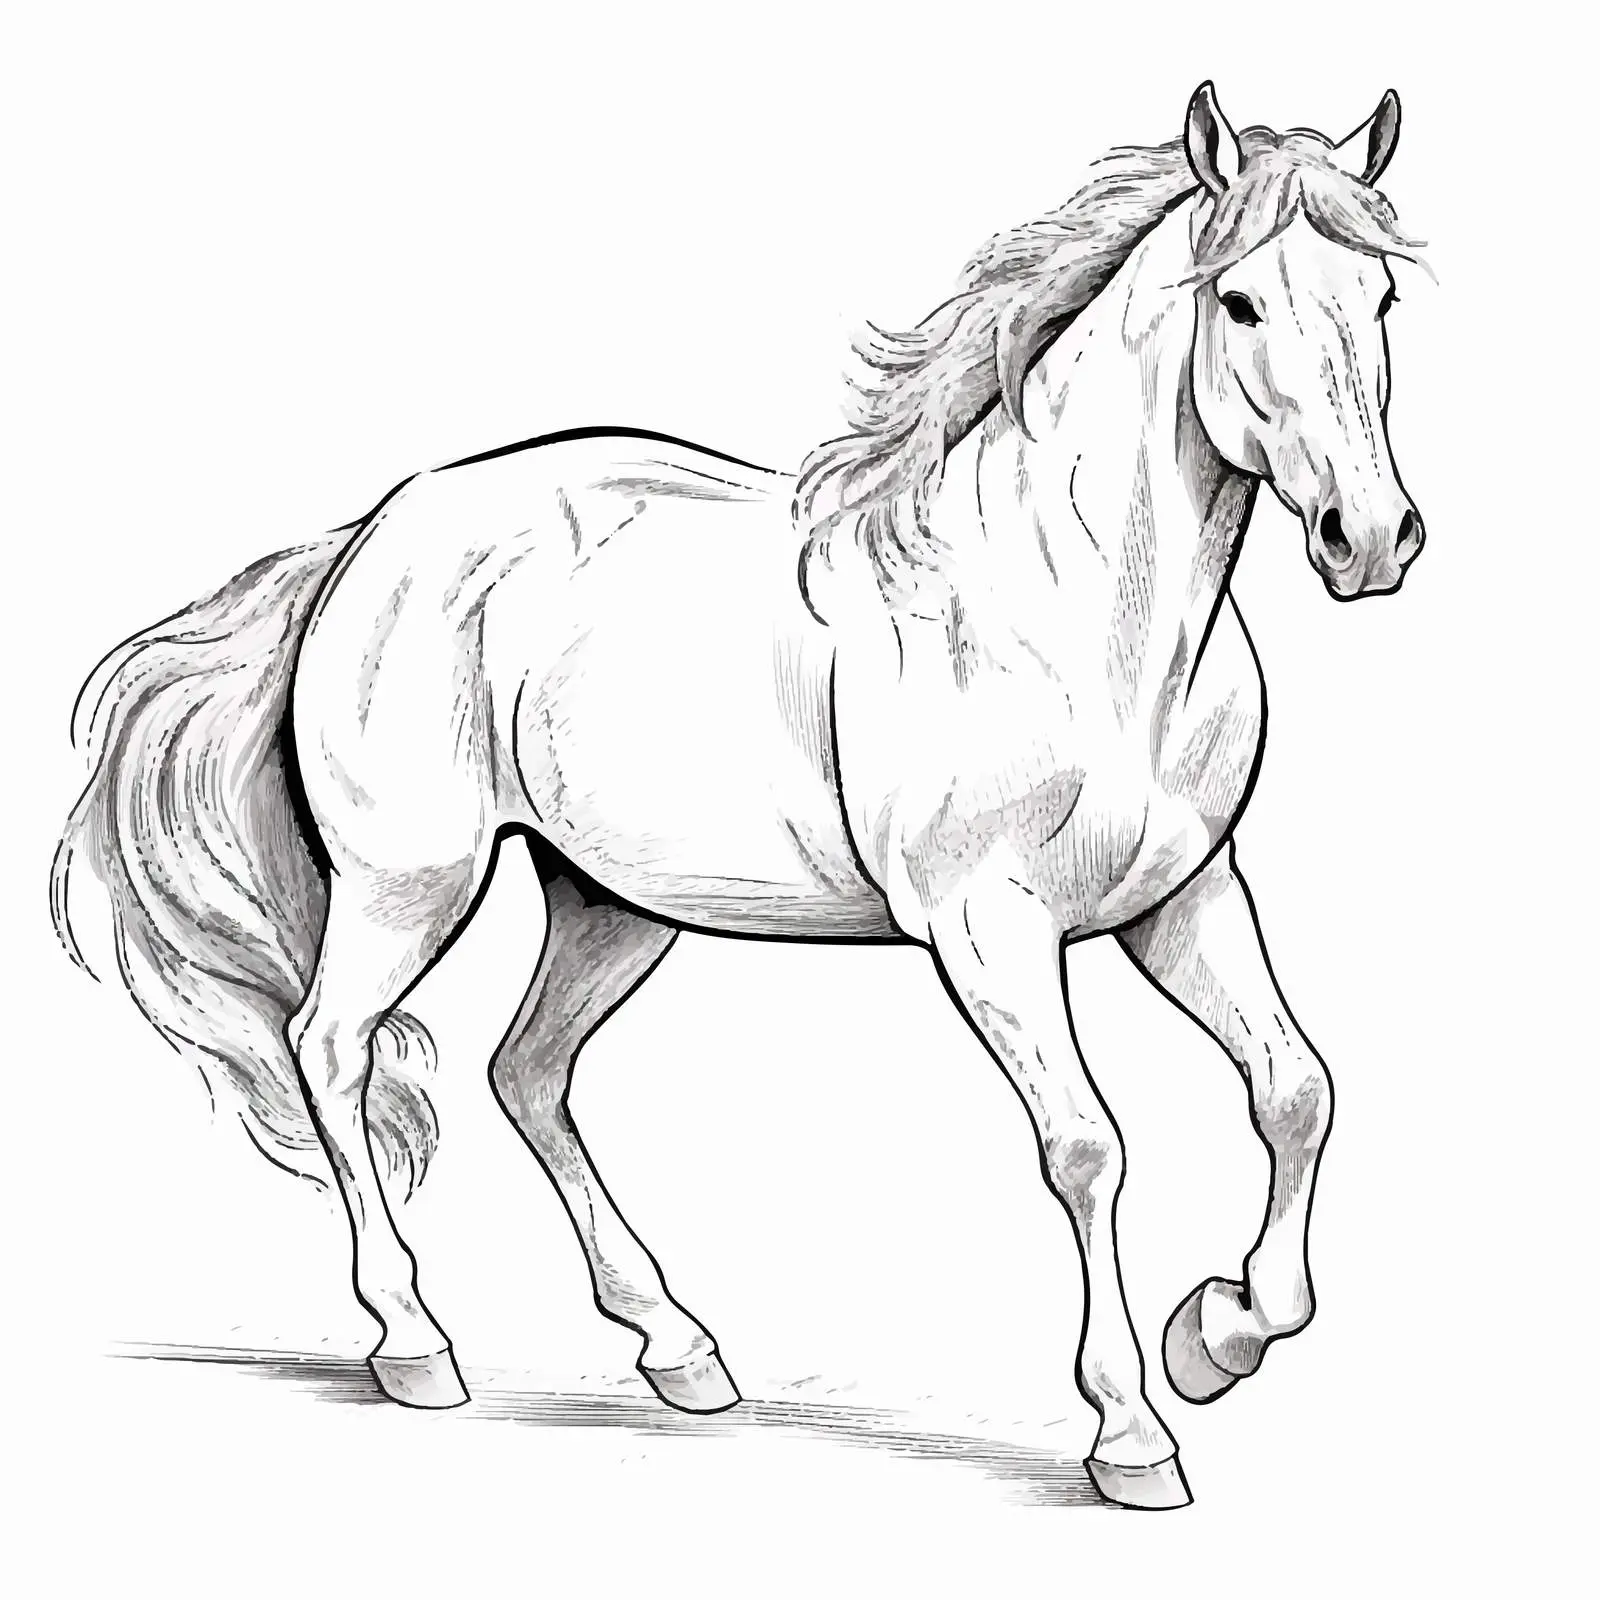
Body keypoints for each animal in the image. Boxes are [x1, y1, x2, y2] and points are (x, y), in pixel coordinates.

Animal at [52, 82, 1426, 1510]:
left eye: (1380, 294)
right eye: (1241, 301)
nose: (1372, 539)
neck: (1075, 616)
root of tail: (369, 540)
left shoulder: (1184, 897)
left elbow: (1296, 1088)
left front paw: (1217, 1335)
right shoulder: (987, 929)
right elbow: (1087, 1147)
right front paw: (1133, 1431)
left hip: (608, 902)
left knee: (525, 1070)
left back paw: (681, 1350)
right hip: (407, 884)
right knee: (333, 1045)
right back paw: (419, 1347)